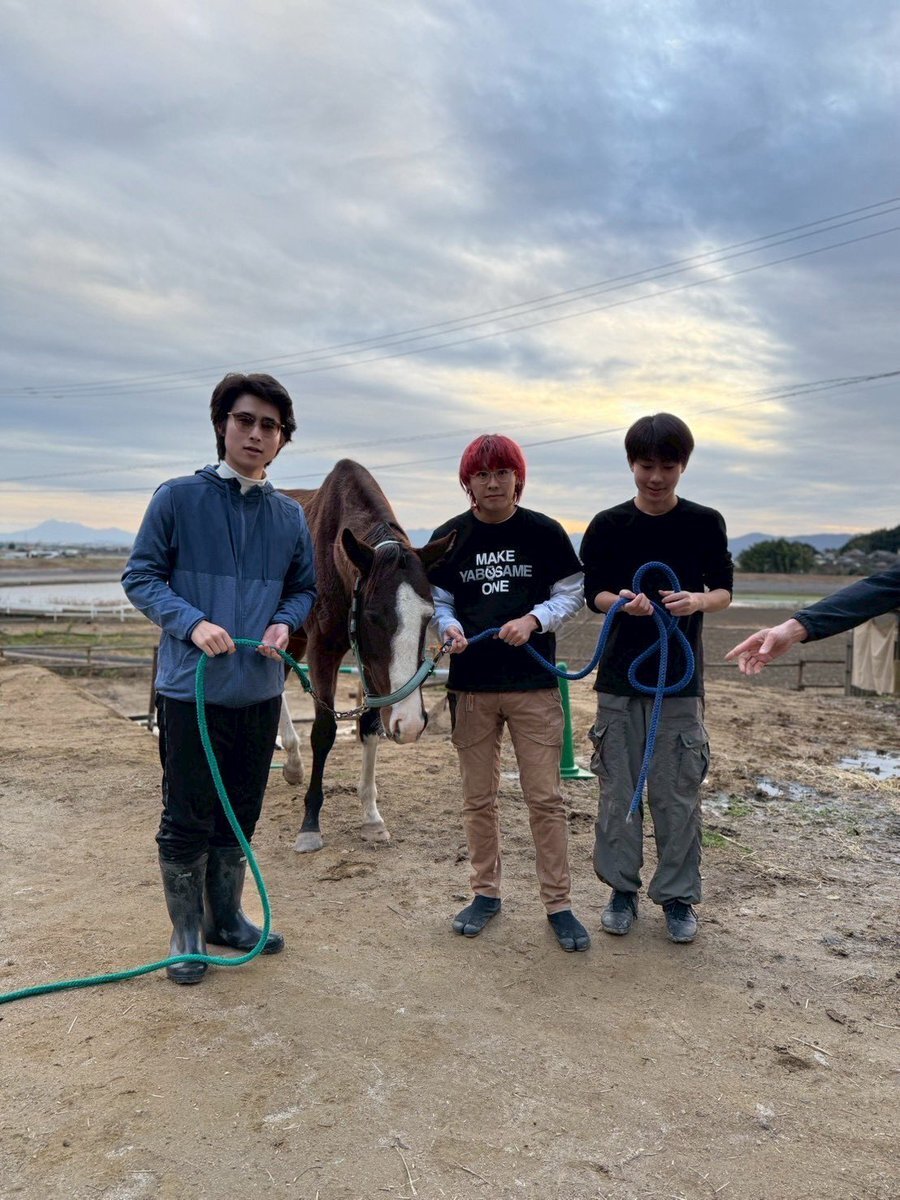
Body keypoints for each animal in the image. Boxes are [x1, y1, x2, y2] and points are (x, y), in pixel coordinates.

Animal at [279, 459, 454, 853]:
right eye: (374, 616)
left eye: (428, 616)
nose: (411, 724)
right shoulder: (323, 651)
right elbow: (324, 731)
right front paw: (310, 824)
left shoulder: (368, 666)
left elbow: (371, 726)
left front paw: (371, 817)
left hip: (292, 635)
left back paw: (293, 763)